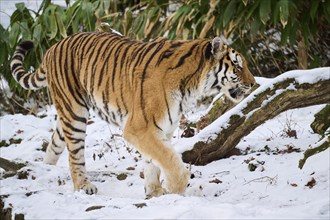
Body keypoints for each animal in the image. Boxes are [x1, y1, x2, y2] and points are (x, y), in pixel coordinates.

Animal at [9, 31, 255, 199]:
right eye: (237, 66)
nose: (253, 83)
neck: (193, 84)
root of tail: (53, 47)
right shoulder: (141, 127)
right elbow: (169, 160)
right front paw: (175, 189)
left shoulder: (161, 128)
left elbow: (154, 160)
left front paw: (154, 193)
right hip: (75, 112)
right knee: (75, 154)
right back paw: (84, 186)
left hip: (68, 113)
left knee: (55, 144)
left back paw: (45, 170)